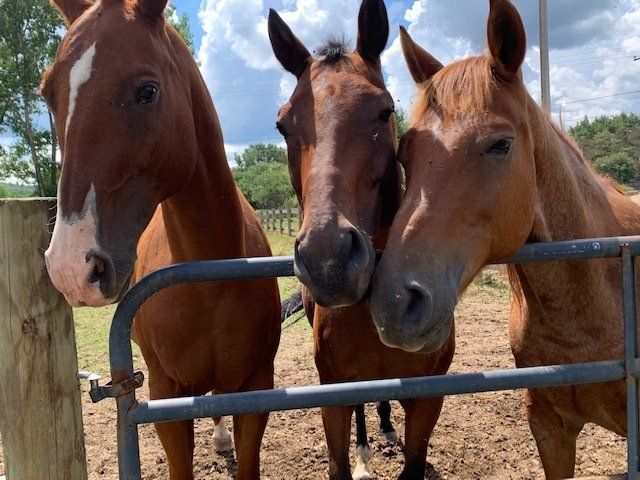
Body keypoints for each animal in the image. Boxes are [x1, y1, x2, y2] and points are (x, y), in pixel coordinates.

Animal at [41, 0, 281, 477]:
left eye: (147, 92)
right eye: (48, 93)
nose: (71, 267)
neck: (209, 282)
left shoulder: (256, 390)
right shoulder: (164, 394)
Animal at [268, 1, 454, 478]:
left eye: (385, 111)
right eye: (282, 125)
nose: (328, 259)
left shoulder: (429, 399)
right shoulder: (332, 392)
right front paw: (360, 455)